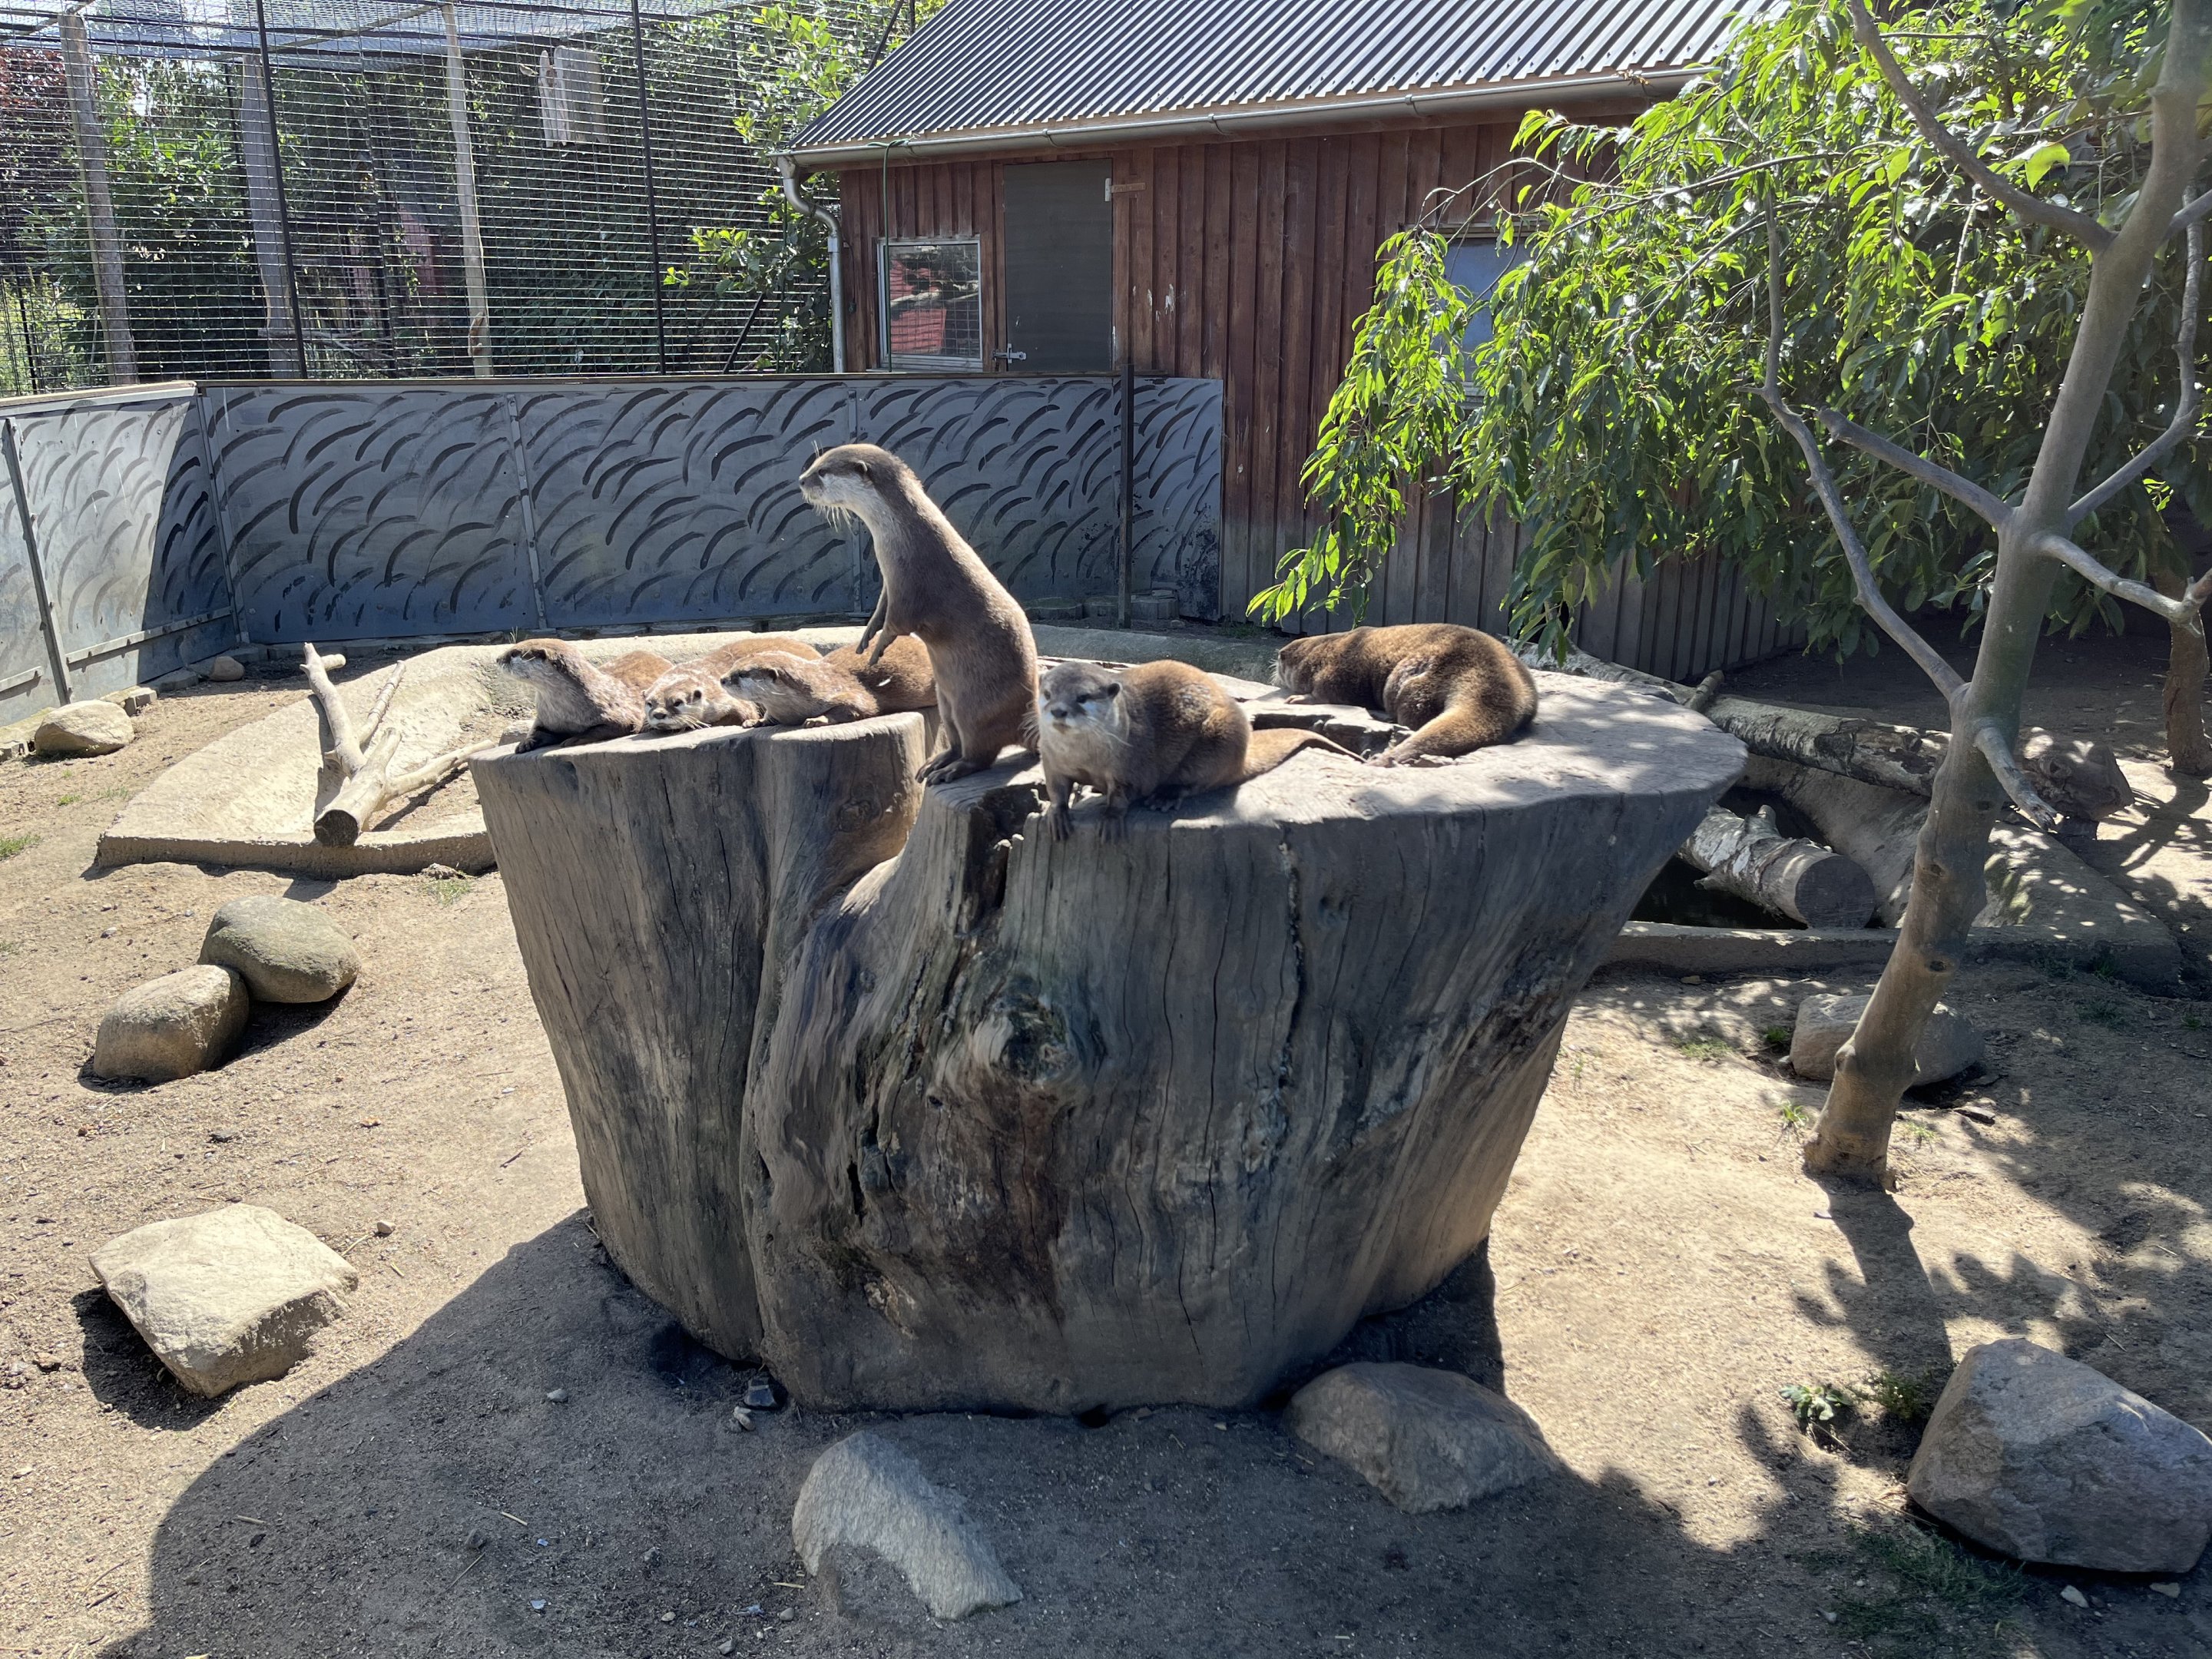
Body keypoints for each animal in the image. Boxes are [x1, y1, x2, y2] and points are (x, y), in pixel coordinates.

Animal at [497, 638, 648, 751]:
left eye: (514, 653)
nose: (498, 659)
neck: (565, 713)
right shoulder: (544, 717)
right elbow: (536, 729)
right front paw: (525, 742)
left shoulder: (622, 714)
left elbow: (605, 728)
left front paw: (575, 738)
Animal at [797, 443, 1036, 783]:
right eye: (817, 462)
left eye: (823, 471)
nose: (801, 481)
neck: (902, 536)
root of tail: (1026, 718)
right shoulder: (890, 585)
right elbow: (880, 612)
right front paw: (866, 637)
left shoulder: (912, 585)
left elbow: (898, 623)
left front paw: (876, 652)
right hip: (946, 703)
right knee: (957, 739)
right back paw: (937, 762)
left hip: (975, 708)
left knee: (981, 751)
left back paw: (952, 770)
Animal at [1032, 659, 1355, 840]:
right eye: (1047, 694)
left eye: (1083, 697)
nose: (1058, 710)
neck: (1086, 758)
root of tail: (1243, 755)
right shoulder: (1052, 760)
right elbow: (1057, 789)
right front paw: (1056, 816)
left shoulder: (1130, 765)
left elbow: (1123, 796)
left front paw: (1111, 820)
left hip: (1220, 738)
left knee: (1199, 783)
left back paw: (1166, 795)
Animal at [1274, 623, 1536, 764]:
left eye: (1283, 662)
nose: (1278, 656)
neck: (1323, 650)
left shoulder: (1341, 669)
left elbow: (1328, 692)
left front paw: (1298, 698)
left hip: (1413, 678)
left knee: (1413, 714)